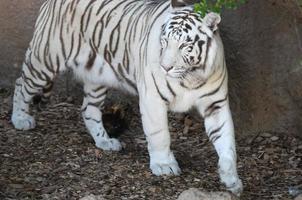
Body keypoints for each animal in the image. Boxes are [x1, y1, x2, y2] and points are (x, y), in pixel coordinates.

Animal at [11, 0, 243, 195]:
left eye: (185, 46)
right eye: (164, 41)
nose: (165, 67)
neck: (190, 77)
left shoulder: (216, 104)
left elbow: (227, 142)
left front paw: (231, 179)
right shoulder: (152, 99)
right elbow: (160, 135)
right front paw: (163, 165)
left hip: (96, 77)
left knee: (88, 109)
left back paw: (105, 141)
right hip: (45, 60)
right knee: (21, 84)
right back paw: (20, 119)